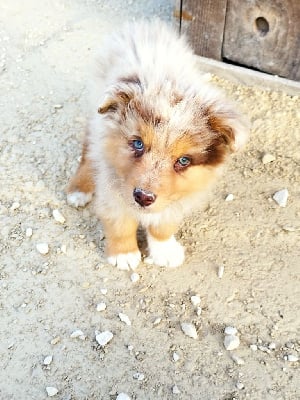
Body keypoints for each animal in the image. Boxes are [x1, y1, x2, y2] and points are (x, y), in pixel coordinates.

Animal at [67, 18, 248, 268]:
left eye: (184, 160)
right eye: (138, 144)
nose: (143, 197)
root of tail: (144, 26)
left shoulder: (176, 197)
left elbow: (163, 224)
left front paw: (164, 250)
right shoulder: (111, 184)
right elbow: (120, 221)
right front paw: (123, 254)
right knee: (88, 148)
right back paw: (79, 190)